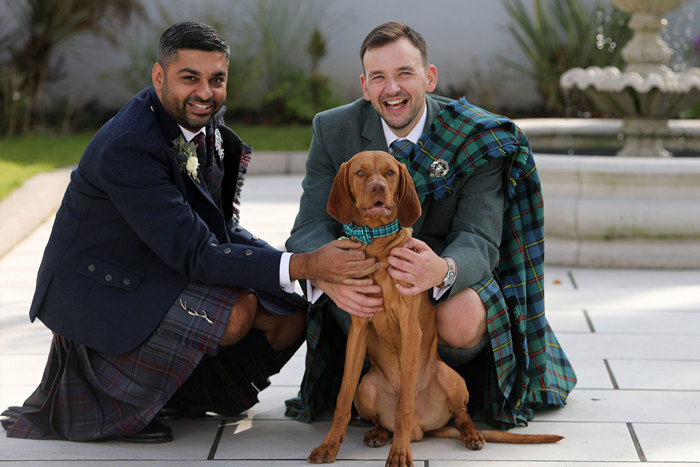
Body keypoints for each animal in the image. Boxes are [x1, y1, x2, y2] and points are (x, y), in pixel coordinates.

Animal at [308, 152, 560, 466]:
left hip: (450, 378)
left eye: (390, 172)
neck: (377, 243)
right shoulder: (359, 327)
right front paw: (329, 446)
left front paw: (400, 454)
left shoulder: (410, 329)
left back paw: (471, 435)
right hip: (366, 388)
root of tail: (421, 430)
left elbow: (404, 404)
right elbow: (342, 399)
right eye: (360, 172)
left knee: (460, 415)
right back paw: (378, 433)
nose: (379, 188)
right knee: (380, 418)